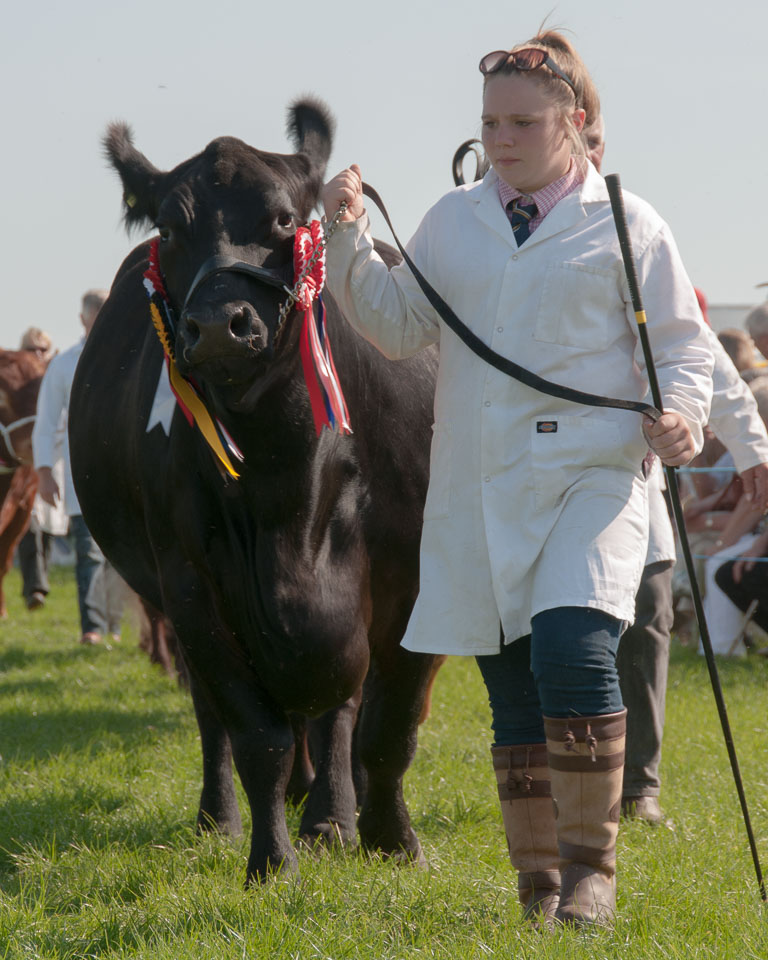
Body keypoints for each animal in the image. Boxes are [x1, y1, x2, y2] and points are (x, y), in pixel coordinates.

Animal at [71, 101, 440, 880]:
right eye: (169, 229)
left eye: (283, 219)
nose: (219, 326)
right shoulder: (191, 585)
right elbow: (255, 736)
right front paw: (270, 861)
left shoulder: (418, 571)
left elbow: (388, 725)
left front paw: (392, 839)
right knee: (227, 718)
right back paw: (232, 817)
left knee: (338, 709)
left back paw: (330, 817)